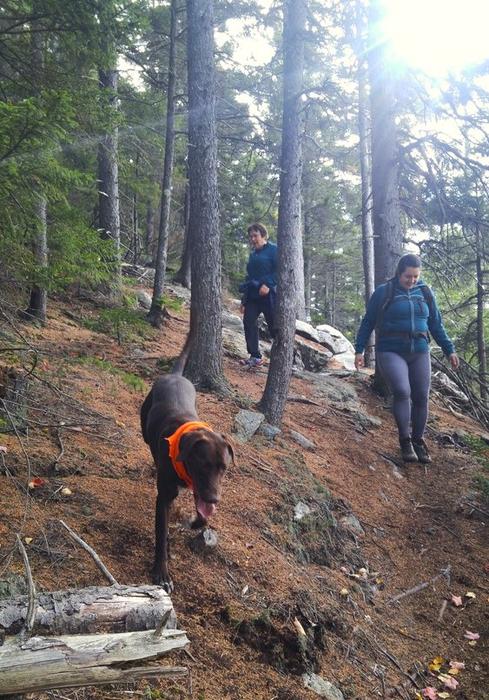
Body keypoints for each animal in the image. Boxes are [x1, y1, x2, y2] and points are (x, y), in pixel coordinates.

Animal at [140, 372, 234, 592]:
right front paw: (162, 573)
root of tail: (175, 374)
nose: (214, 500)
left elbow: (203, 519)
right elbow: (161, 535)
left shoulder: (200, 491)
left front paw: (191, 521)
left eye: (224, 468)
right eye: (204, 465)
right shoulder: (164, 498)